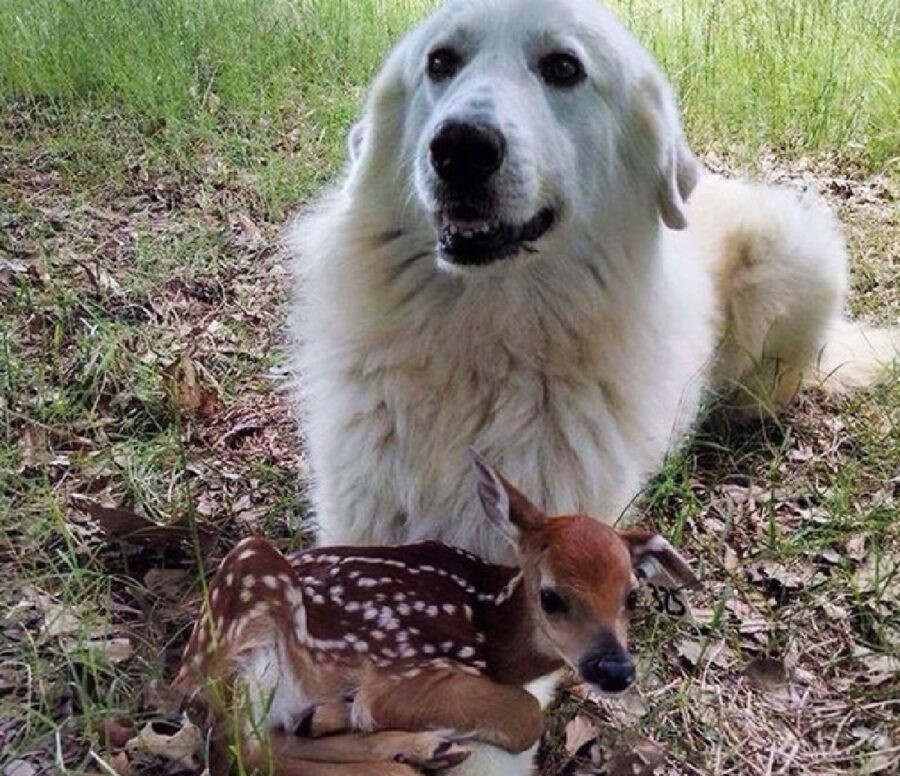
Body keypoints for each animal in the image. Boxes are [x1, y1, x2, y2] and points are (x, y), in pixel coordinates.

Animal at [176, 452, 696, 772]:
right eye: (551, 597)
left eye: (631, 597)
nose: (615, 670)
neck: (490, 634)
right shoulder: (405, 670)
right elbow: (525, 715)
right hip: (252, 585)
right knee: (242, 749)